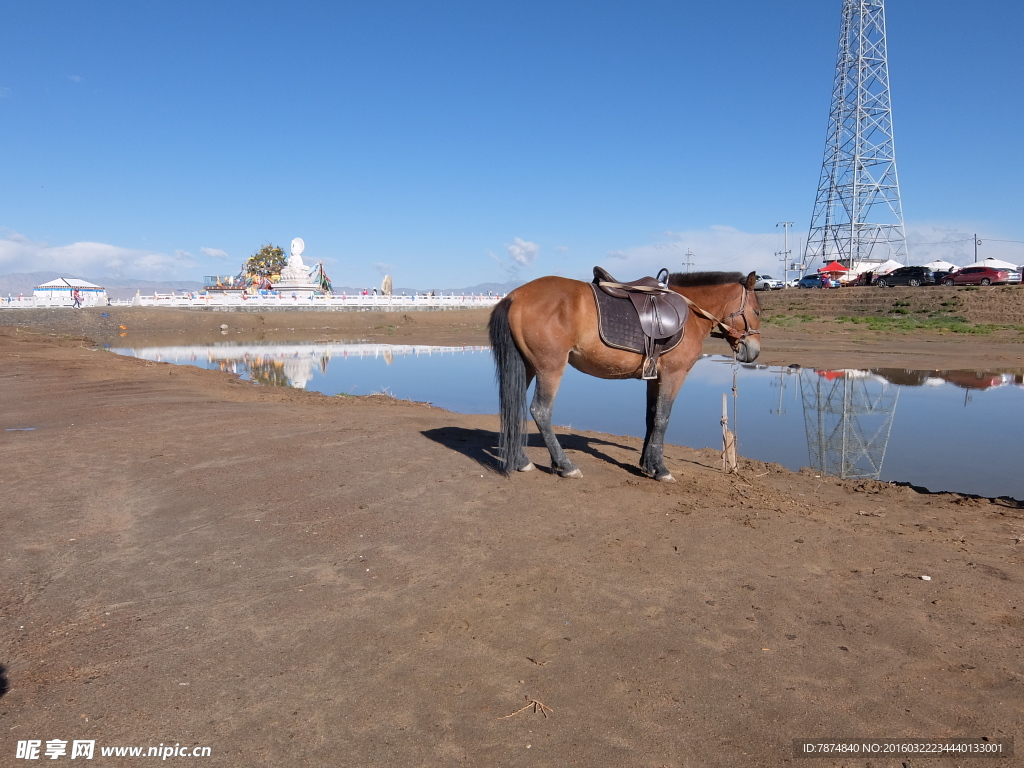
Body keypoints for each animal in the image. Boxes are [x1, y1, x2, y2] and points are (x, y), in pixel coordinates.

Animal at [487, 272, 761, 481]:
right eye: (758, 311)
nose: (754, 351)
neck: (691, 313)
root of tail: (514, 296)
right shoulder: (674, 375)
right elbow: (663, 419)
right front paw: (660, 469)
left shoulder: (655, 378)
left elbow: (651, 418)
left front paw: (647, 464)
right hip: (550, 367)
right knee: (541, 411)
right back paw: (565, 465)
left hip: (527, 367)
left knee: (514, 408)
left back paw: (521, 460)